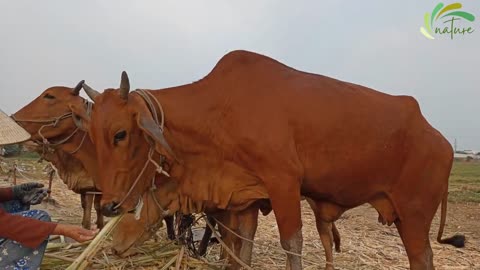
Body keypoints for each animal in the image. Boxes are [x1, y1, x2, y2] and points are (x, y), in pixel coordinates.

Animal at [83, 49, 464, 270]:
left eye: (120, 134)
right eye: (92, 135)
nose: (109, 205)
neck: (220, 109)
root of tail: (440, 139)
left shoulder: (284, 184)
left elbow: (291, 244)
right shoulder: (246, 196)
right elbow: (243, 245)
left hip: (414, 216)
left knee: (422, 257)